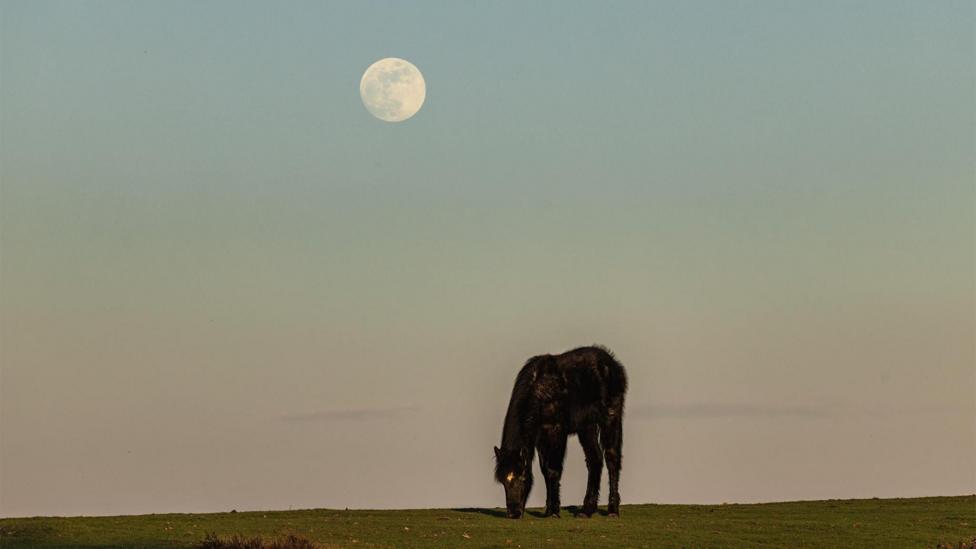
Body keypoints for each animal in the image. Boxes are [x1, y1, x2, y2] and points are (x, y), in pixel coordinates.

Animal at [493, 345, 627, 518]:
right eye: (503, 481)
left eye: (522, 477)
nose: (513, 513)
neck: (540, 390)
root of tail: (612, 363)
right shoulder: (540, 437)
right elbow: (545, 471)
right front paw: (549, 509)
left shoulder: (557, 431)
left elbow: (554, 469)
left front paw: (554, 512)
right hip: (587, 426)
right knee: (595, 460)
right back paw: (586, 510)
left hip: (611, 417)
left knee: (612, 458)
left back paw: (612, 510)